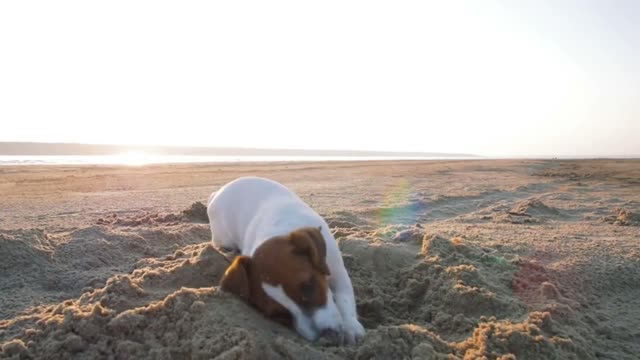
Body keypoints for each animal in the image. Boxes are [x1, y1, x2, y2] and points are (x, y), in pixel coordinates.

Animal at [206, 176, 364, 344]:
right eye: (279, 314)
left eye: (309, 286)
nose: (326, 338)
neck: (277, 230)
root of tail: (217, 193)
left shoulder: (338, 271)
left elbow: (345, 298)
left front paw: (351, 327)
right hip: (224, 238)